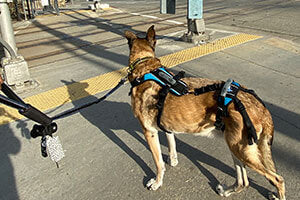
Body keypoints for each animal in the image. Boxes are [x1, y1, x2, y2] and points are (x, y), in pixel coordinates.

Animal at [124, 25, 286, 199]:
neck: (145, 67)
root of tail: (262, 107)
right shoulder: (167, 127)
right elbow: (171, 144)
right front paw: (173, 160)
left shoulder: (149, 132)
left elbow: (158, 162)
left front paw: (157, 182)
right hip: (235, 147)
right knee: (244, 182)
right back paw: (227, 191)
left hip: (241, 150)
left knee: (277, 179)